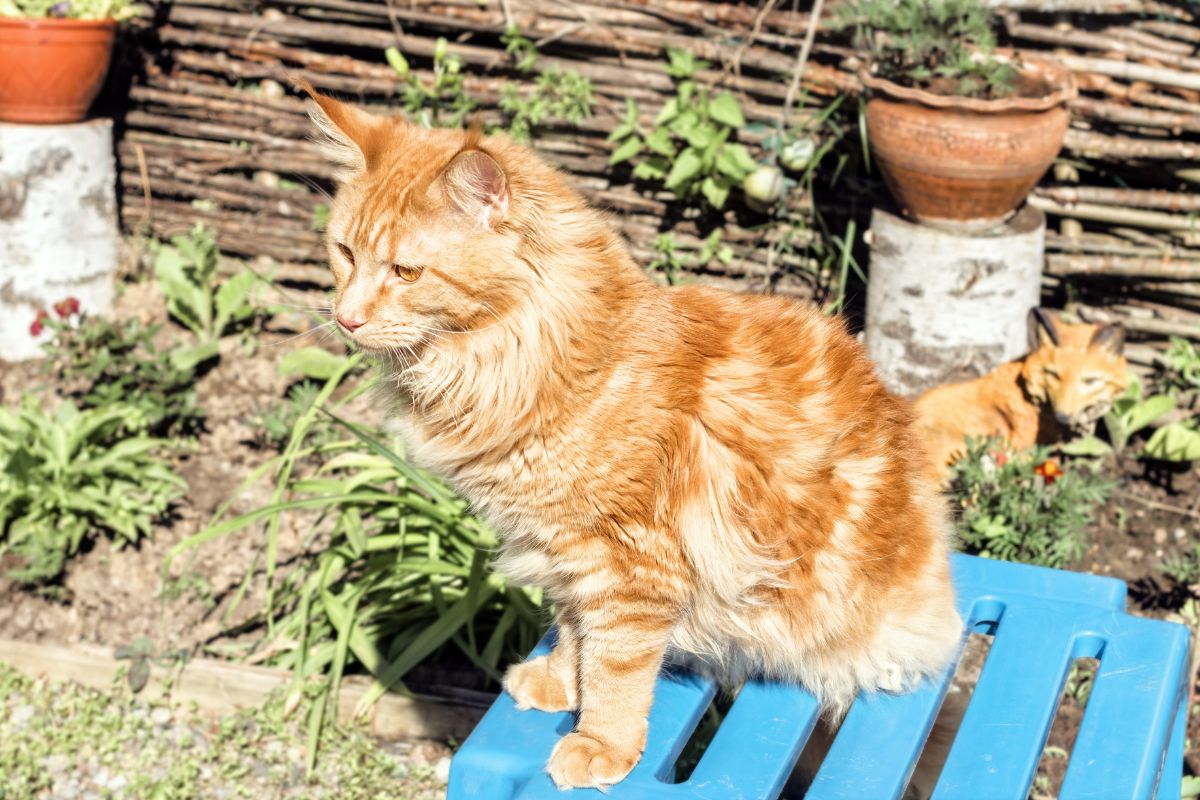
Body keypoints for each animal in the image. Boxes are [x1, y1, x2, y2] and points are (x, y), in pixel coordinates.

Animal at [304, 81, 960, 786]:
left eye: (406, 272)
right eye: (345, 254)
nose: (346, 318)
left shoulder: (630, 562)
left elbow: (616, 665)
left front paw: (602, 745)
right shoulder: (566, 550)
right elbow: (574, 633)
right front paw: (560, 684)